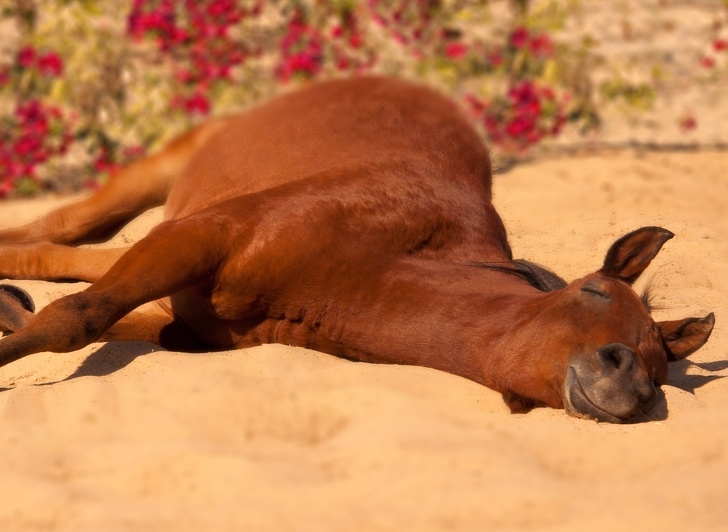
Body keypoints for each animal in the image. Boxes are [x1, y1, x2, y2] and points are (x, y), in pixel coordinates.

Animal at [0, 76, 716, 424]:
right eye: (592, 291)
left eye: (660, 363)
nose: (631, 383)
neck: (368, 263)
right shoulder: (200, 236)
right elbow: (74, 319)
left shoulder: (189, 312)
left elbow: (93, 314)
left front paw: (14, 317)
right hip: (158, 179)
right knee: (66, 225)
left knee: (67, 253)